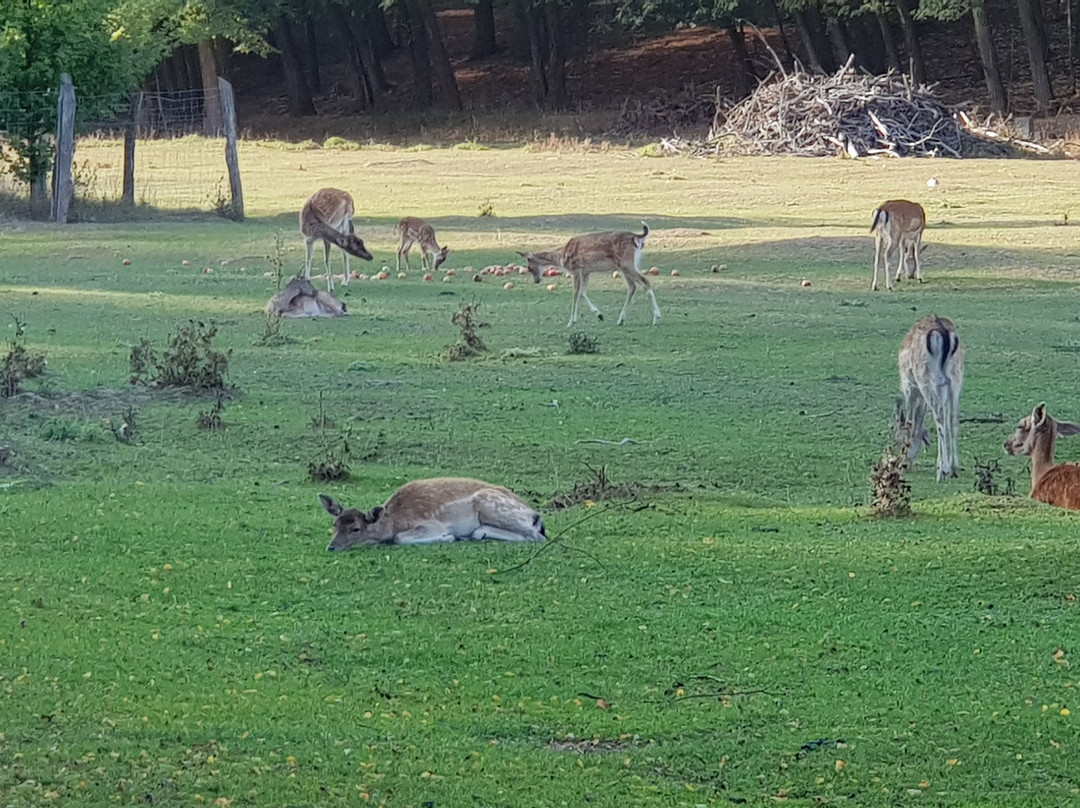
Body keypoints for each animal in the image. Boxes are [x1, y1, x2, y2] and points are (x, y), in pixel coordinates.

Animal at [315, 477, 544, 553]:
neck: (393, 521)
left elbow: (399, 538)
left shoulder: (431, 524)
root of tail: (535, 514)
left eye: (355, 528)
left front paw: (449, 536)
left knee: (535, 535)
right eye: (335, 525)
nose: (331, 547)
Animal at [514, 222, 656, 326]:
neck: (562, 257)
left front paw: (571, 322)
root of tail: (636, 237)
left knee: (645, 282)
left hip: (627, 264)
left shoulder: (576, 269)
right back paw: (621, 320)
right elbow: (583, 292)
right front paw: (599, 315)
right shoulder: (586, 271)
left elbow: (575, 293)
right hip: (625, 266)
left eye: (529, 267)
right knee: (632, 287)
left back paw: (656, 318)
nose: (536, 281)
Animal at [898, 313, 967, 479]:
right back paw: (954, 466)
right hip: (956, 377)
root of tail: (942, 331)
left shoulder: (909, 387)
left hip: (928, 379)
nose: (905, 464)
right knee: (952, 418)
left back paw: (943, 471)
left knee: (939, 416)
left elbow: (910, 423)